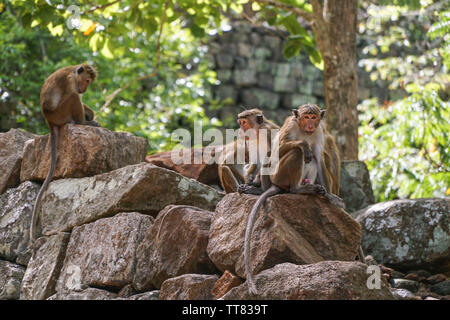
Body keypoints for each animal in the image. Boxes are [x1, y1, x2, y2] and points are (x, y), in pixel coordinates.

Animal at [30, 63, 100, 244]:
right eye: (87, 80)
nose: (85, 88)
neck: (74, 73)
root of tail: (49, 121)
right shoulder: (70, 82)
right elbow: (72, 95)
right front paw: (87, 118)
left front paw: (90, 112)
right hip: (60, 113)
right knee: (73, 97)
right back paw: (83, 122)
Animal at [239, 104, 356, 294]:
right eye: (305, 117)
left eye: (313, 117)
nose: (241, 130)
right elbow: (277, 150)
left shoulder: (318, 132)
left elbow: (317, 157)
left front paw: (331, 197)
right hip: (279, 174)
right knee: (297, 153)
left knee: (308, 157)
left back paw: (299, 188)